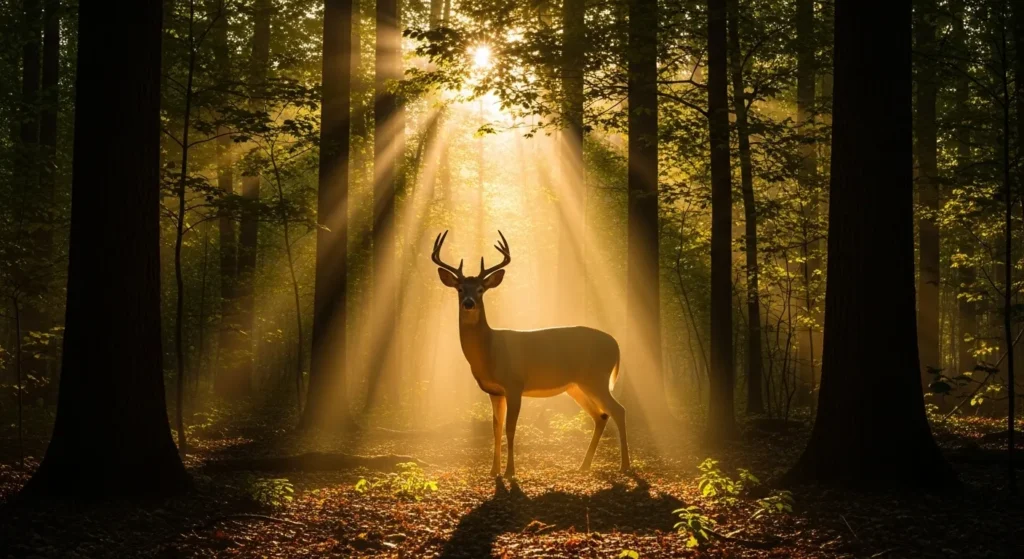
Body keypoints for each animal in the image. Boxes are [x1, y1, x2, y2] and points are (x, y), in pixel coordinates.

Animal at [431, 230, 630, 478]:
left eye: (480, 289)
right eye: (460, 289)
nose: (469, 303)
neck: (490, 351)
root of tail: (616, 344)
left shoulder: (514, 384)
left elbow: (511, 428)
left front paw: (510, 472)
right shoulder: (494, 391)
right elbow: (496, 429)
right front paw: (493, 471)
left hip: (597, 377)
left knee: (619, 410)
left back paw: (625, 466)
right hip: (577, 385)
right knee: (601, 415)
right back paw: (584, 466)